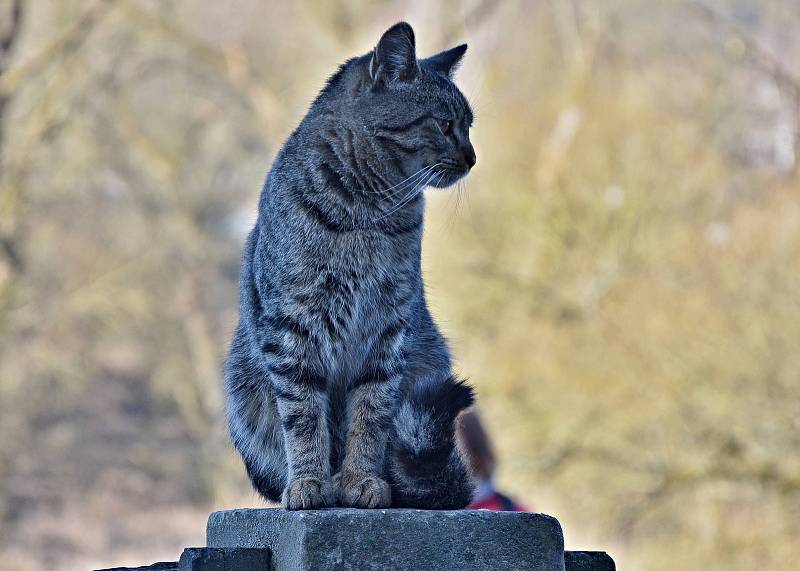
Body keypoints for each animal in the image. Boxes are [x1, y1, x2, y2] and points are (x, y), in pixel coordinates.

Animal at [222, 22, 478, 512]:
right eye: (444, 124)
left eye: (470, 126)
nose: (473, 157)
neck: (370, 214)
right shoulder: (293, 327)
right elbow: (304, 417)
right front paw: (308, 481)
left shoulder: (387, 328)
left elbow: (371, 415)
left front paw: (360, 478)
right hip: (243, 387)